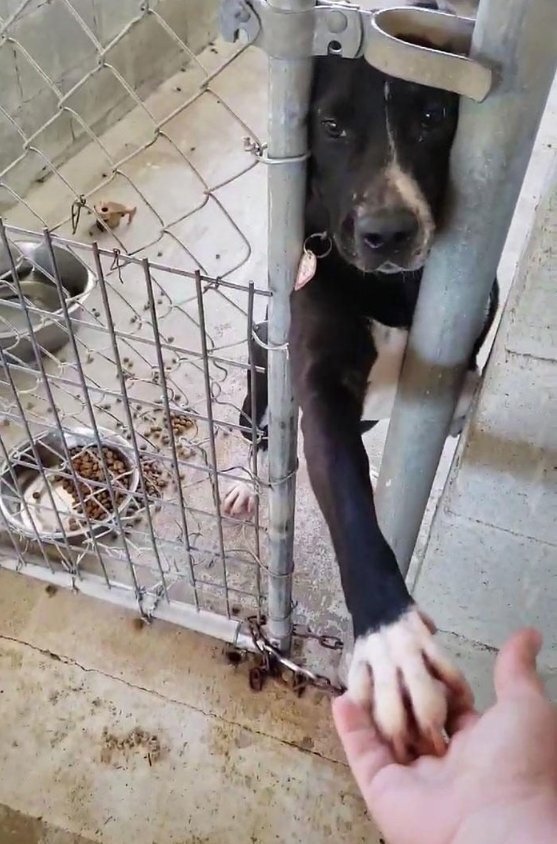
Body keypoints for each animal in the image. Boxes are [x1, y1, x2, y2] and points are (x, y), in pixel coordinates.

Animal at [223, 6, 498, 762]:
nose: (386, 233)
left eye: (433, 114)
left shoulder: (469, 334)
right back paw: (243, 481)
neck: (391, 291)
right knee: (254, 432)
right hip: (261, 385)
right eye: (331, 125)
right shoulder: (319, 391)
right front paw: (393, 640)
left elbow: (466, 386)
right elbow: (349, 504)